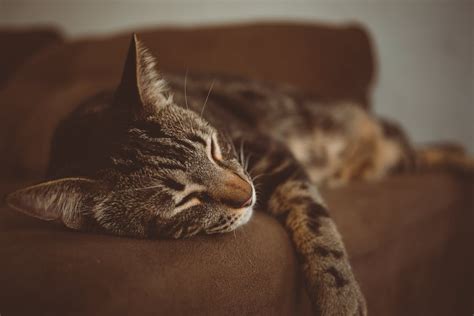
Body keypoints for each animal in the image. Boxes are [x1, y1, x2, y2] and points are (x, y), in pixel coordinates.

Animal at [7, 34, 474, 316]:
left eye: (214, 147)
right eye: (185, 200)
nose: (248, 194)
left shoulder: (276, 156)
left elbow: (319, 231)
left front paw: (340, 296)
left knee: (436, 148)